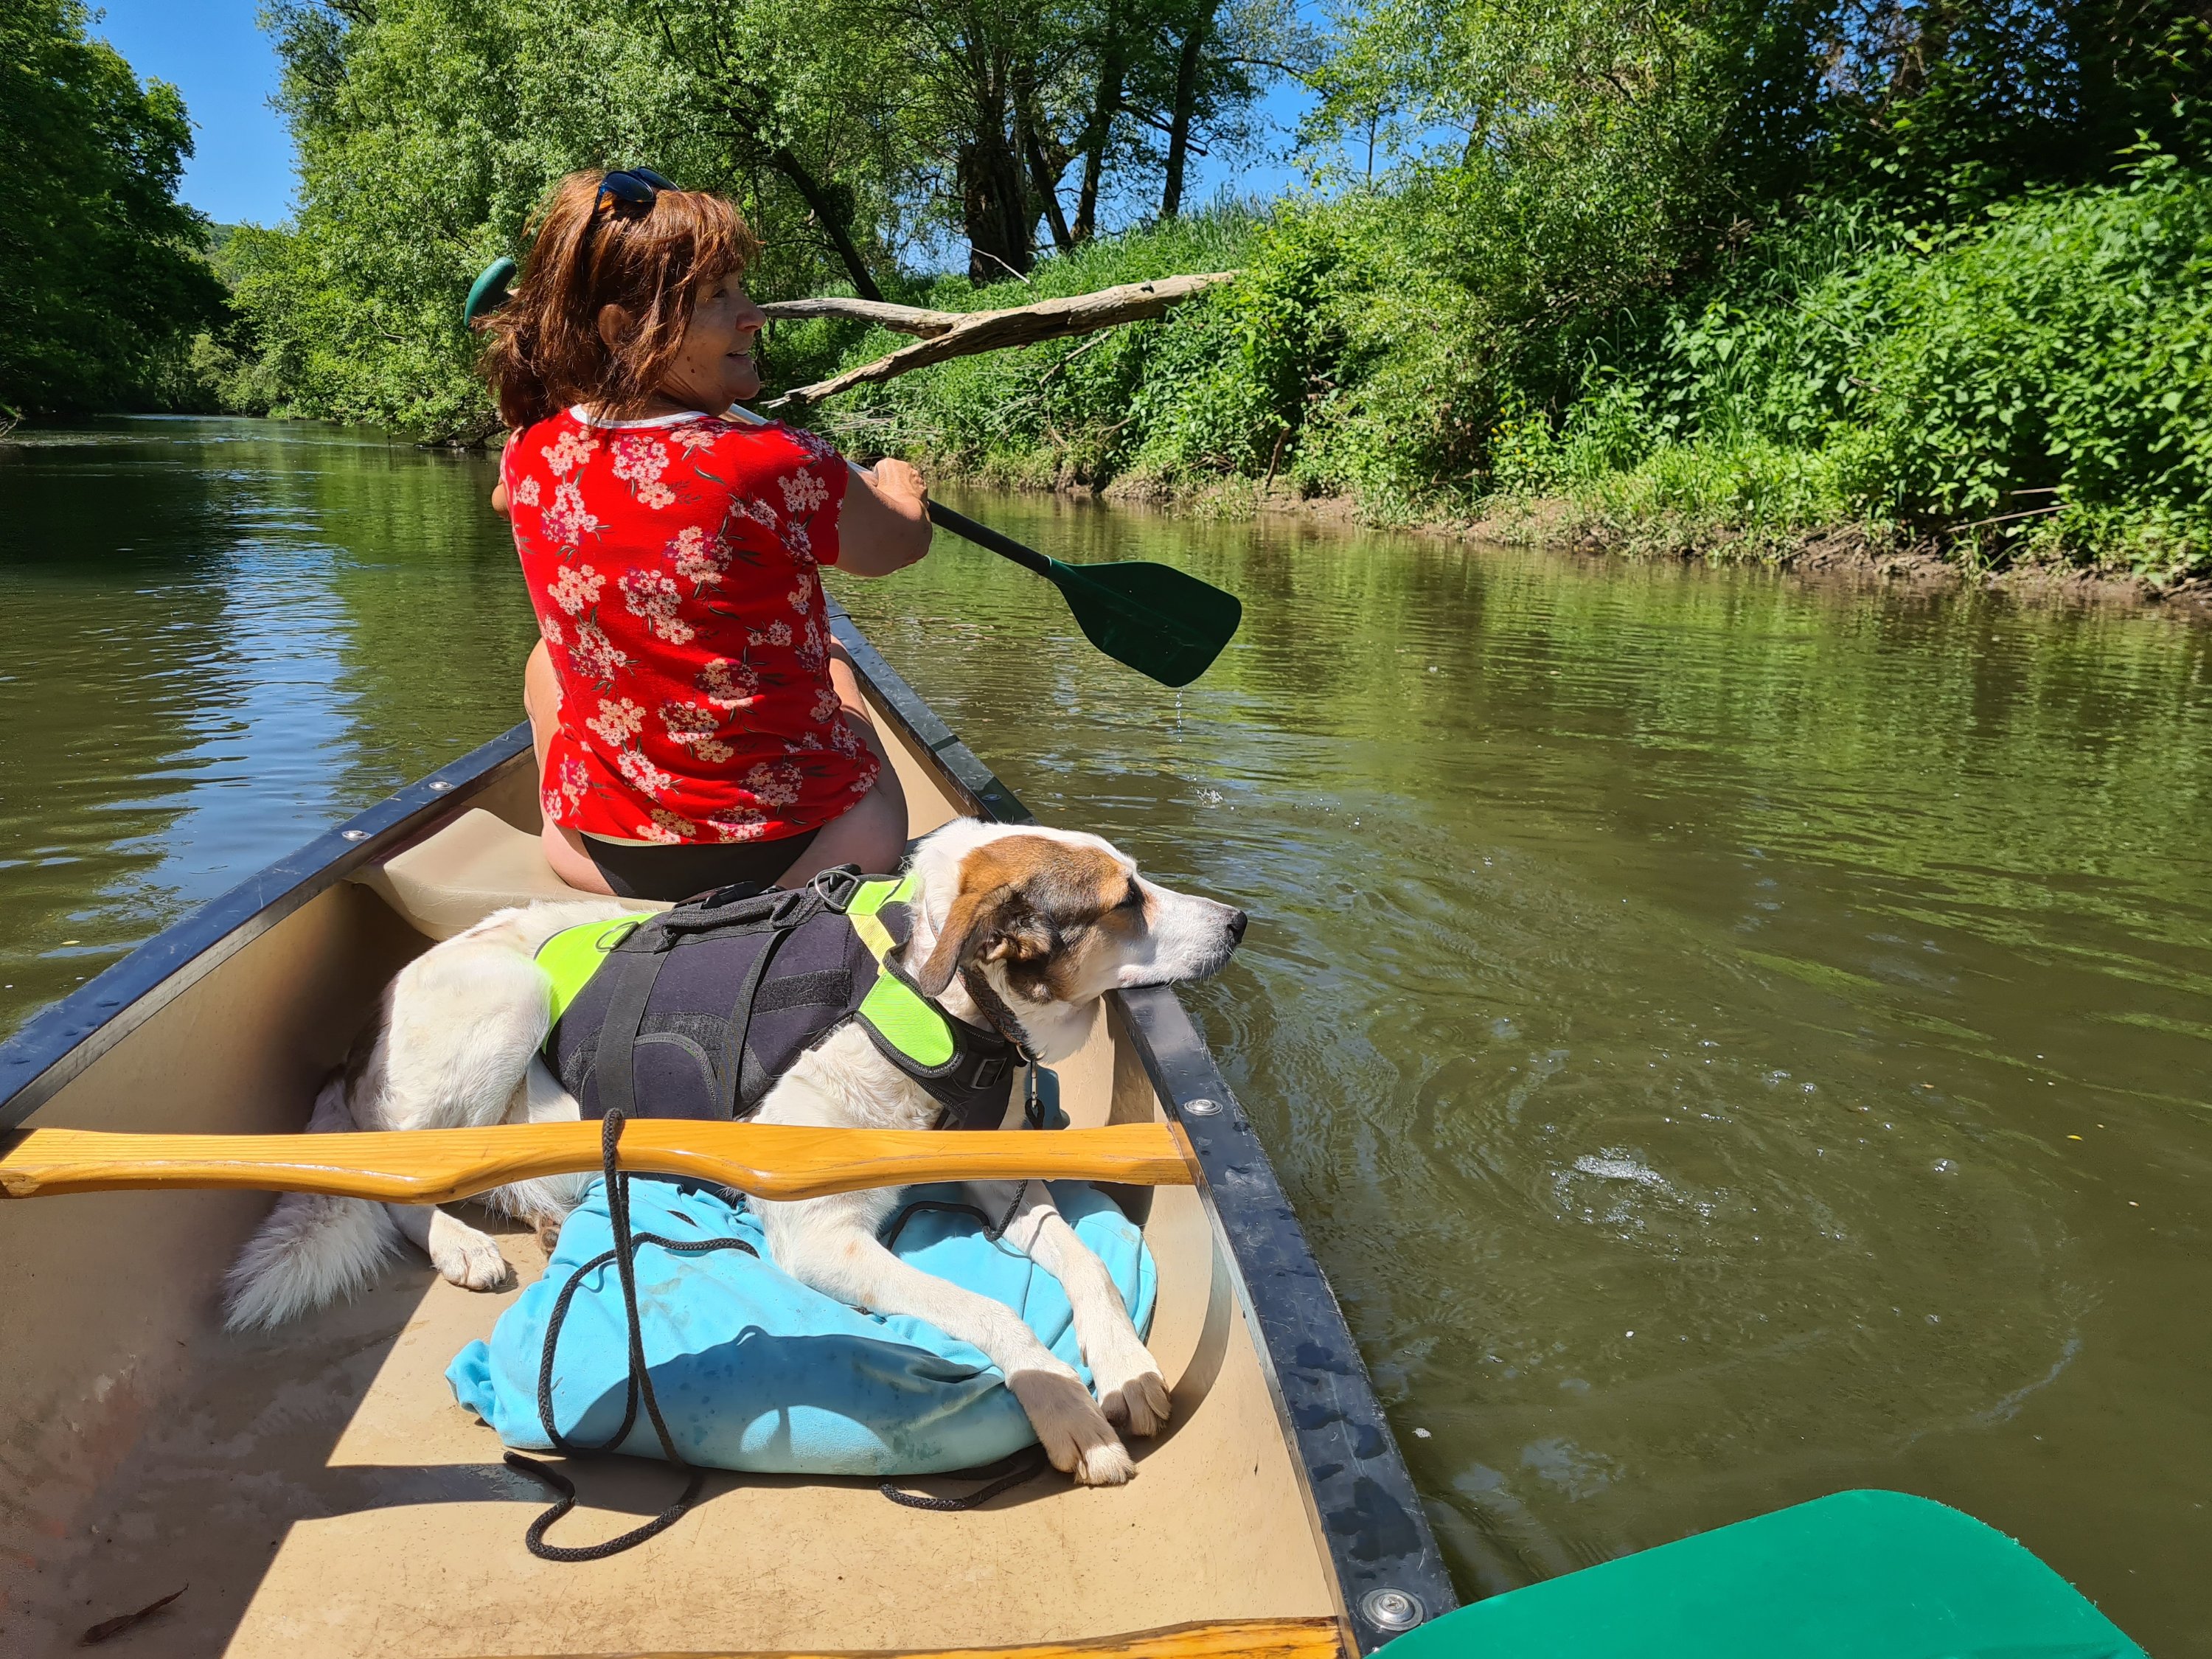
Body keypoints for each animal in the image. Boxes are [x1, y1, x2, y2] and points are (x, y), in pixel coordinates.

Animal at [224, 818, 1246, 1485]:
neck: (936, 1001)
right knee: (395, 1175)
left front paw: (1122, 1364)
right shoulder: (822, 1237)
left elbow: (1086, 1263)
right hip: (507, 997)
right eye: (1125, 902)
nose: (1240, 921)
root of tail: (357, 1048)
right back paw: (461, 1243)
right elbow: (992, 1312)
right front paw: (1065, 1406)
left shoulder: (1000, 1185)